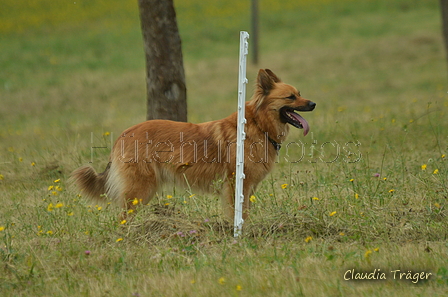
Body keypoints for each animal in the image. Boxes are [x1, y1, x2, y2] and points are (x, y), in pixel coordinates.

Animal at [70, 69, 316, 217]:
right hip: (139, 189)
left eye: (299, 93)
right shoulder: (236, 185)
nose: (313, 104)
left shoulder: (246, 188)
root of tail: (124, 134)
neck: (258, 124)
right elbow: (238, 214)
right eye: (290, 97)